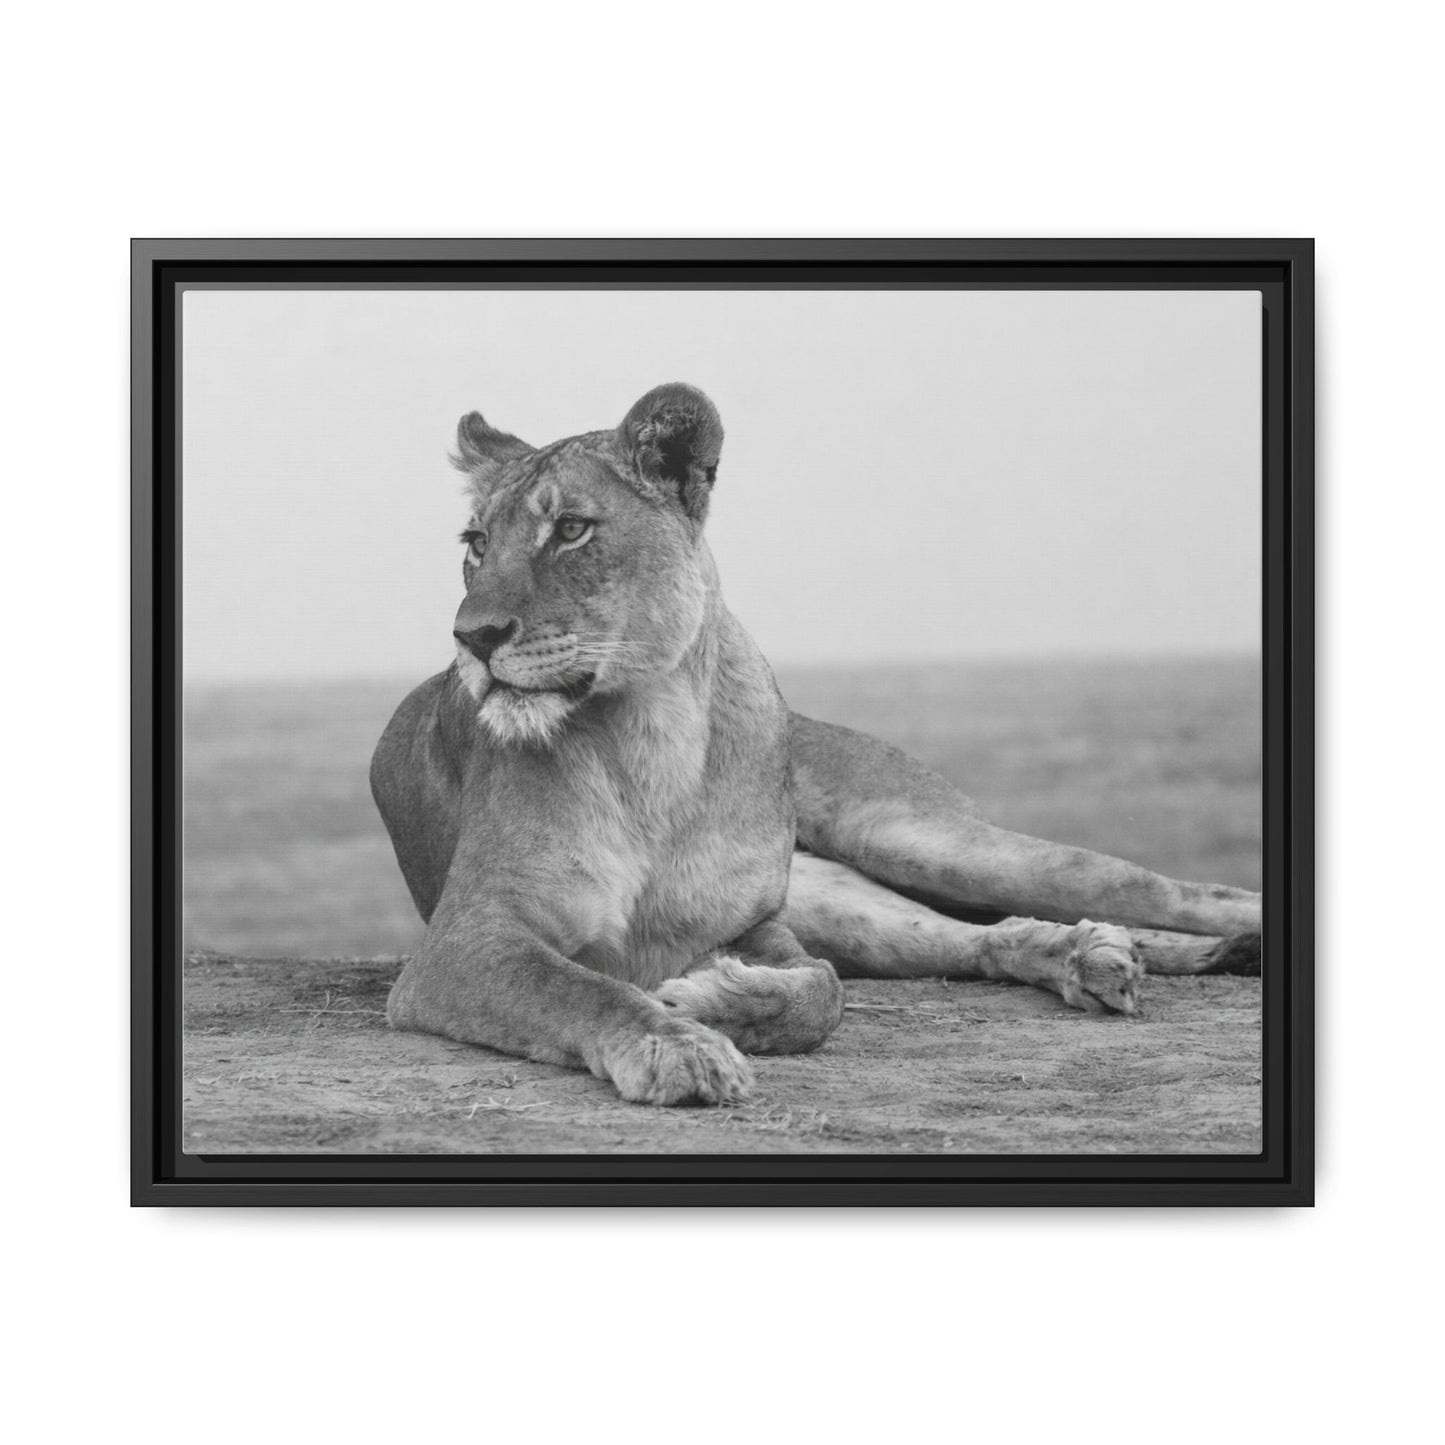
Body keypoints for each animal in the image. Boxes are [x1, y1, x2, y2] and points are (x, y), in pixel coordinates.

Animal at [371, 383, 1262, 1106]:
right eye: (476, 543)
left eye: (570, 530)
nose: (471, 637)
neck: (650, 739)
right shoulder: (465, 940)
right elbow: (583, 988)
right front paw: (677, 1044)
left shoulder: (759, 924)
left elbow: (820, 994)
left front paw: (705, 1000)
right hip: (848, 897)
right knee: (978, 937)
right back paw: (1091, 955)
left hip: (913, 837)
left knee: (1174, 890)